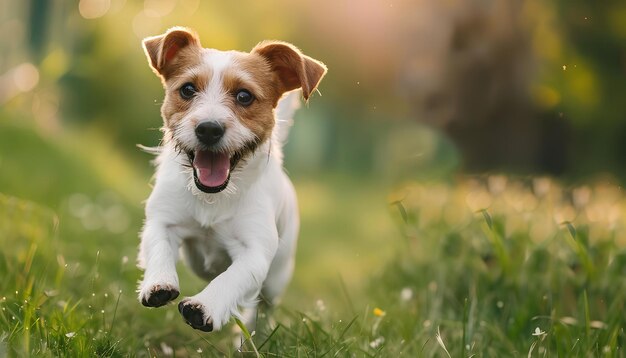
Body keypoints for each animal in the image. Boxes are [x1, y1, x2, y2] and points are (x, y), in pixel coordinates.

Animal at [134, 25, 324, 332]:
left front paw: (205, 306)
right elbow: (159, 247)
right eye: (188, 89)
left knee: (261, 308)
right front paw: (159, 283)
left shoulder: (255, 253)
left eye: (244, 96)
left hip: (276, 280)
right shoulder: (162, 221)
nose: (209, 129)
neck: (214, 197)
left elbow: (230, 280)